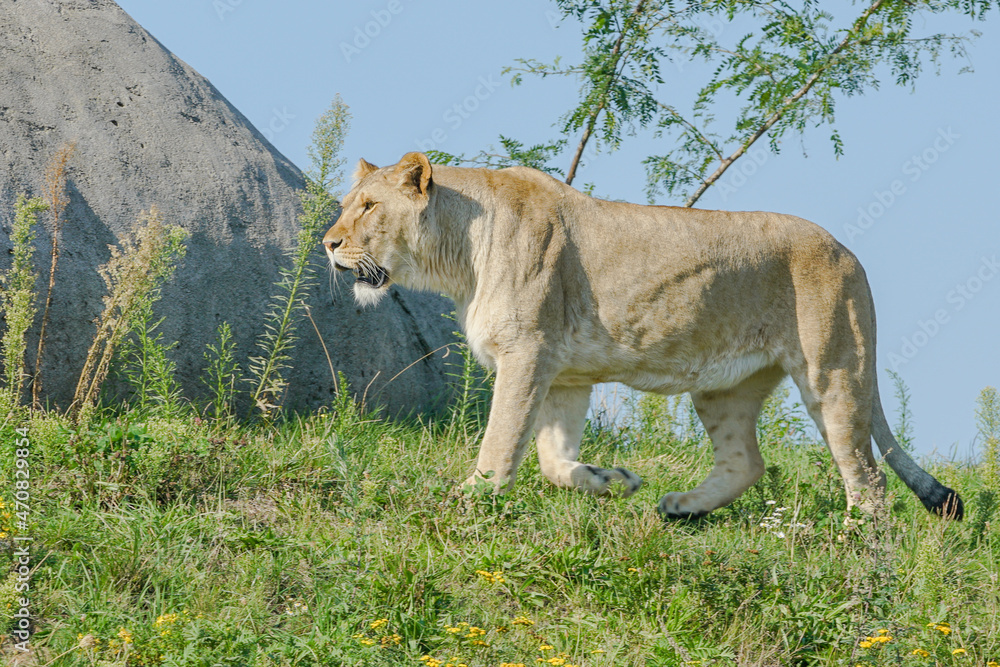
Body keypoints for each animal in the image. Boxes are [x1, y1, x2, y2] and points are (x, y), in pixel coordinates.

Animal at [323, 151, 963, 520]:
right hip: (724, 386)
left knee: (867, 475)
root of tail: (848, 252)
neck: (460, 253)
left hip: (834, 370)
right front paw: (609, 481)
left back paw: (857, 546)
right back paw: (682, 508)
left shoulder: (528, 352)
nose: (328, 243)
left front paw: (470, 500)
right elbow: (552, 457)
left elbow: (501, 438)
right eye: (347, 205)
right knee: (746, 461)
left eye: (369, 206)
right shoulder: (564, 374)